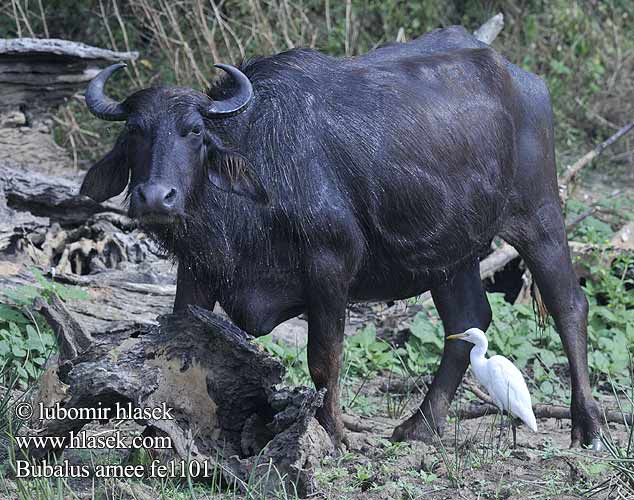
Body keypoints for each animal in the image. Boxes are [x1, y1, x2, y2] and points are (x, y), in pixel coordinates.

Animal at [78, 26, 596, 450]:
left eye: (194, 131)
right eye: (135, 130)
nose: (155, 197)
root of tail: (523, 79)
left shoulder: (329, 269)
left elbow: (323, 358)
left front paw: (333, 432)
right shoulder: (197, 272)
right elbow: (181, 348)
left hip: (539, 215)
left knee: (569, 304)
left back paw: (586, 426)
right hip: (452, 253)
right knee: (468, 320)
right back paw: (420, 425)